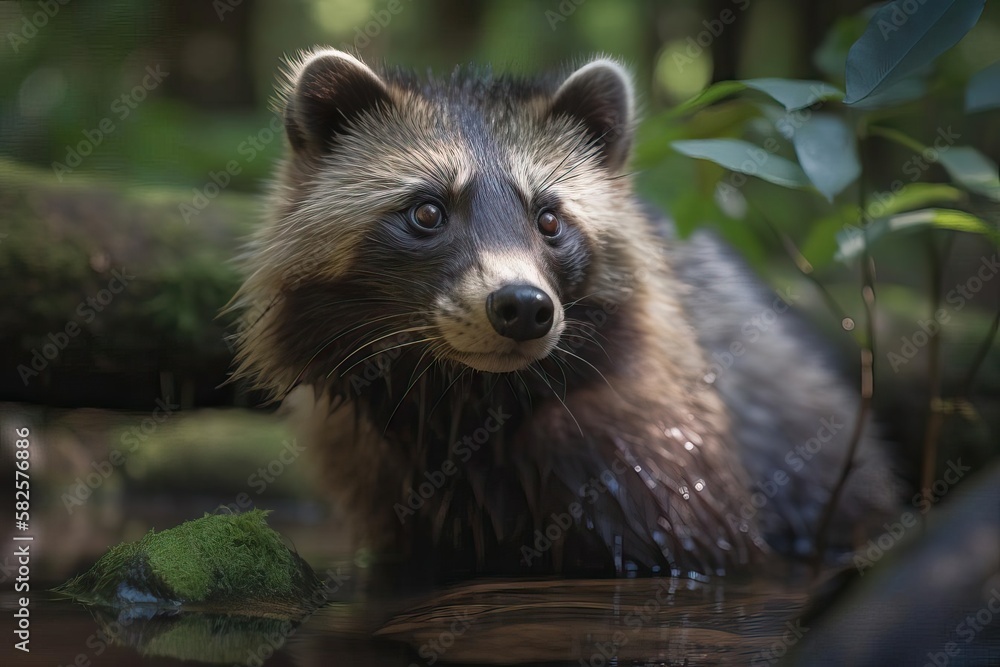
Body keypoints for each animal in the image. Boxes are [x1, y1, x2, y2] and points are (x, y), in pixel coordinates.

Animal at [231, 49, 898, 580]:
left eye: (549, 219)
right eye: (427, 212)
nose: (523, 307)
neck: (468, 397)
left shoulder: (649, 445)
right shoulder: (376, 470)